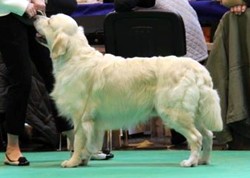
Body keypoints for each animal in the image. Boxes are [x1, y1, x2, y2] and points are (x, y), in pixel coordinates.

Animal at [33, 13, 223, 168]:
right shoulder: (93, 122)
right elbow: (90, 143)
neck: (74, 57)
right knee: (207, 134)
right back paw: (203, 160)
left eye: (49, 21)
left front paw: (72, 162)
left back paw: (190, 162)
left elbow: (79, 141)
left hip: (175, 112)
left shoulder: (80, 117)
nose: (35, 16)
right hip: (193, 113)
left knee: (196, 137)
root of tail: (198, 69)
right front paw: (84, 160)